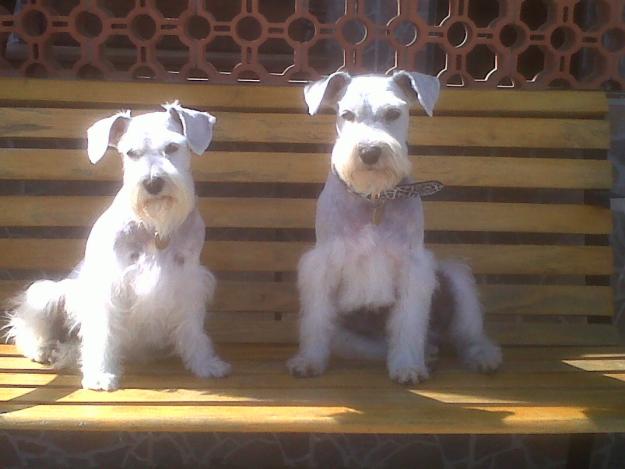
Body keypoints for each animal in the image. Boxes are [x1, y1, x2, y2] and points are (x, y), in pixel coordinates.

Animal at [5, 103, 229, 392]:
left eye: (172, 147)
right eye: (131, 153)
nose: (153, 183)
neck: (155, 228)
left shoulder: (189, 281)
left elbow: (193, 328)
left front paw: (205, 364)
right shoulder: (110, 289)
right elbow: (103, 334)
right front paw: (100, 375)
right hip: (47, 294)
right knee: (31, 327)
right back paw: (43, 349)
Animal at [288, 70, 502, 384]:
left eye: (393, 113)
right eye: (346, 114)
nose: (369, 152)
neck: (374, 198)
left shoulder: (414, 268)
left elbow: (409, 323)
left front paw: (407, 367)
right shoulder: (321, 266)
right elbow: (315, 319)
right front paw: (308, 361)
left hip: (456, 279)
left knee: (469, 335)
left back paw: (481, 357)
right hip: (347, 337)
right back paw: (429, 354)